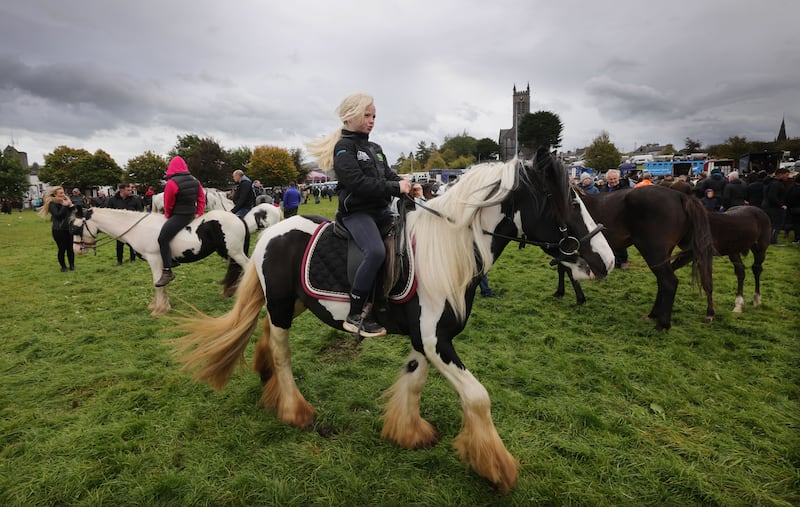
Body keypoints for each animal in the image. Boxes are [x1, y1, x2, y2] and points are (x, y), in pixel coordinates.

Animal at [173, 150, 612, 492]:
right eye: (571, 203)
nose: (606, 261)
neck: (447, 253)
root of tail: (270, 229)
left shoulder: (426, 339)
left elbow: (414, 380)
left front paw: (408, 432)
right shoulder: (436, 340)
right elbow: (477, 397)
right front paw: (497, 467)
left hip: (294, 304)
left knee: (265, 332)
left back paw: (266, 377)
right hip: (283, 306)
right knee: (282, 352)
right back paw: (295, 410)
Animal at [552, 185, 716, 332]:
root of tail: (681, 196)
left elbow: (565, 269)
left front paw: (570, 296)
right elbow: (563, 268)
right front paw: (567, 294)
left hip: (653, 252)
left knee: (669, 282)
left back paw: (663, 324)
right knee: (663, 281)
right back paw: (654, 314)